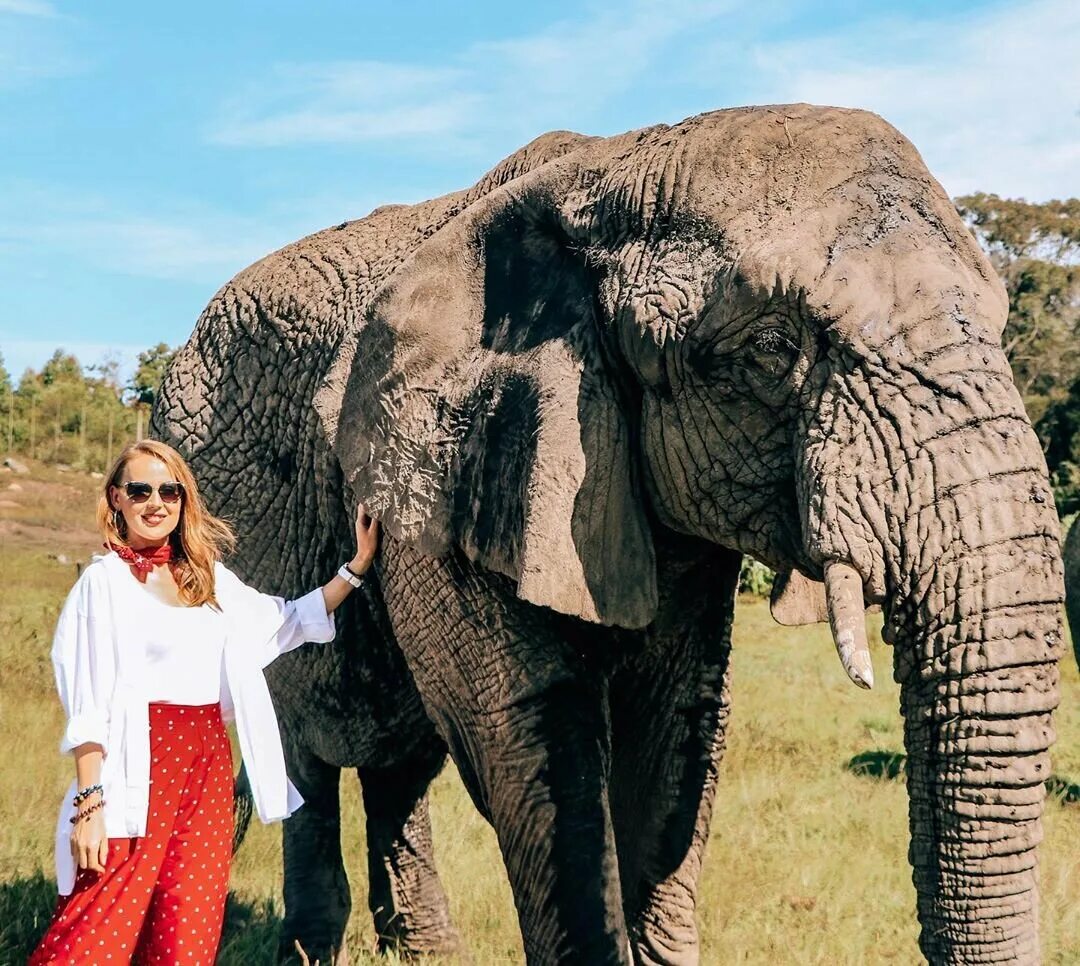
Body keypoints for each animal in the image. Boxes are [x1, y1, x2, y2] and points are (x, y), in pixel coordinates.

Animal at [156, 102, 1067, 963]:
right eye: (772, 348)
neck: (614, 168)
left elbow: (677, 737)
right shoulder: (449, 470)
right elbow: (535, 733)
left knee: (401, 757)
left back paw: (430, 952)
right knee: (307, 743)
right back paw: (312, 952)